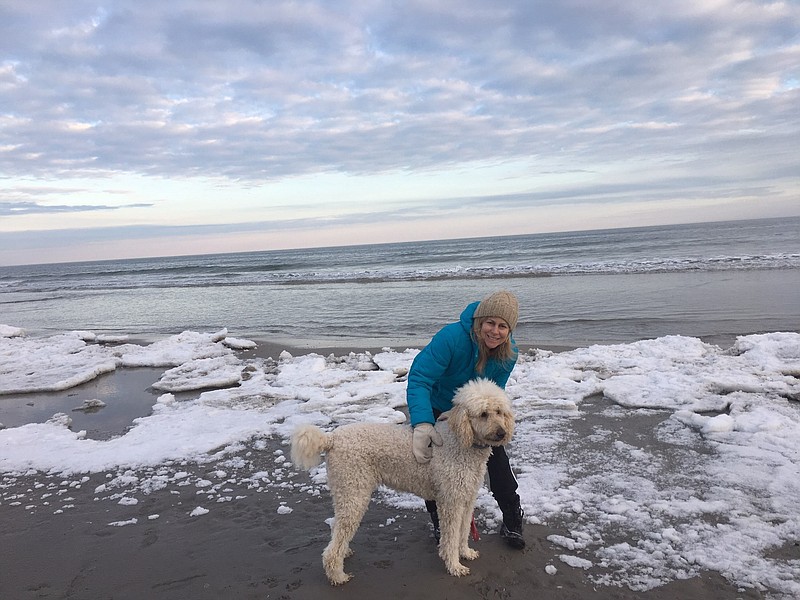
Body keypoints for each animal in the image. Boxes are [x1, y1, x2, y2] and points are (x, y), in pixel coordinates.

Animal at [290, 380, 516, 584]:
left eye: (499, 412)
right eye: (483, 414)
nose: (502, 433)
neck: (461, 442)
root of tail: (331, 439)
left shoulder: (466, 498)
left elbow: (462, 532)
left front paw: (466, 553)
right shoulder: (451, 501)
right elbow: (451, 536)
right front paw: (455, 566)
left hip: (346, 491)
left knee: (336, 526)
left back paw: (344, 554)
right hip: (353, 491)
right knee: (335, 540)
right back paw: (337, 575)